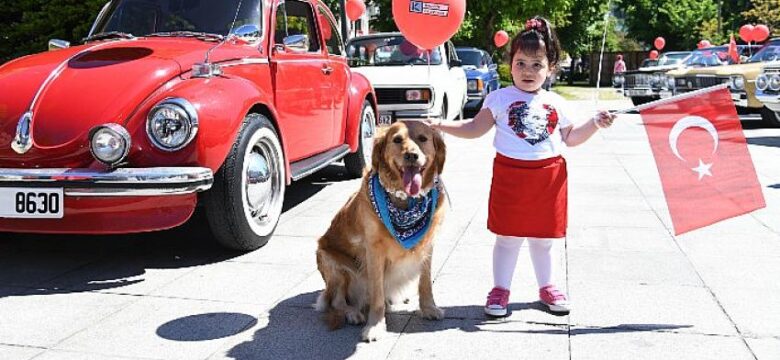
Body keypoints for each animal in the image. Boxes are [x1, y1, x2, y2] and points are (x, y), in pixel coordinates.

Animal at [316, 120, 448, 340]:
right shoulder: (373, 250)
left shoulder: (427, 245)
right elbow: (377, 293)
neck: (406, 202)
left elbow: (425, 283)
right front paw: (375, 325)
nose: (411, 155)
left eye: (423, 138)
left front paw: (429, 308)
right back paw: (353, 313)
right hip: (332, 262)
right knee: (337, 301)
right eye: (397, 140)